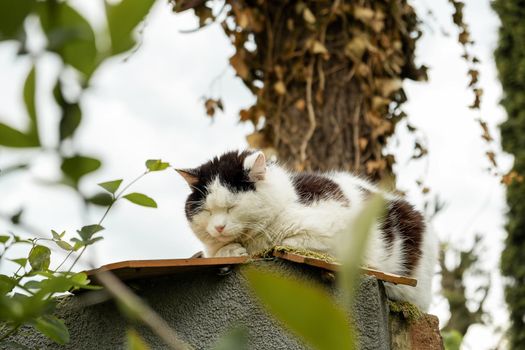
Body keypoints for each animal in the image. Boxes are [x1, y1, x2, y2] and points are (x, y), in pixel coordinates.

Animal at [176, 149, 438, 310]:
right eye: (207, 211)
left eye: (232, 207)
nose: (219, 227)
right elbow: (216, 252)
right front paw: (228, 251)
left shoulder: (331, 231)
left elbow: (281, 243)